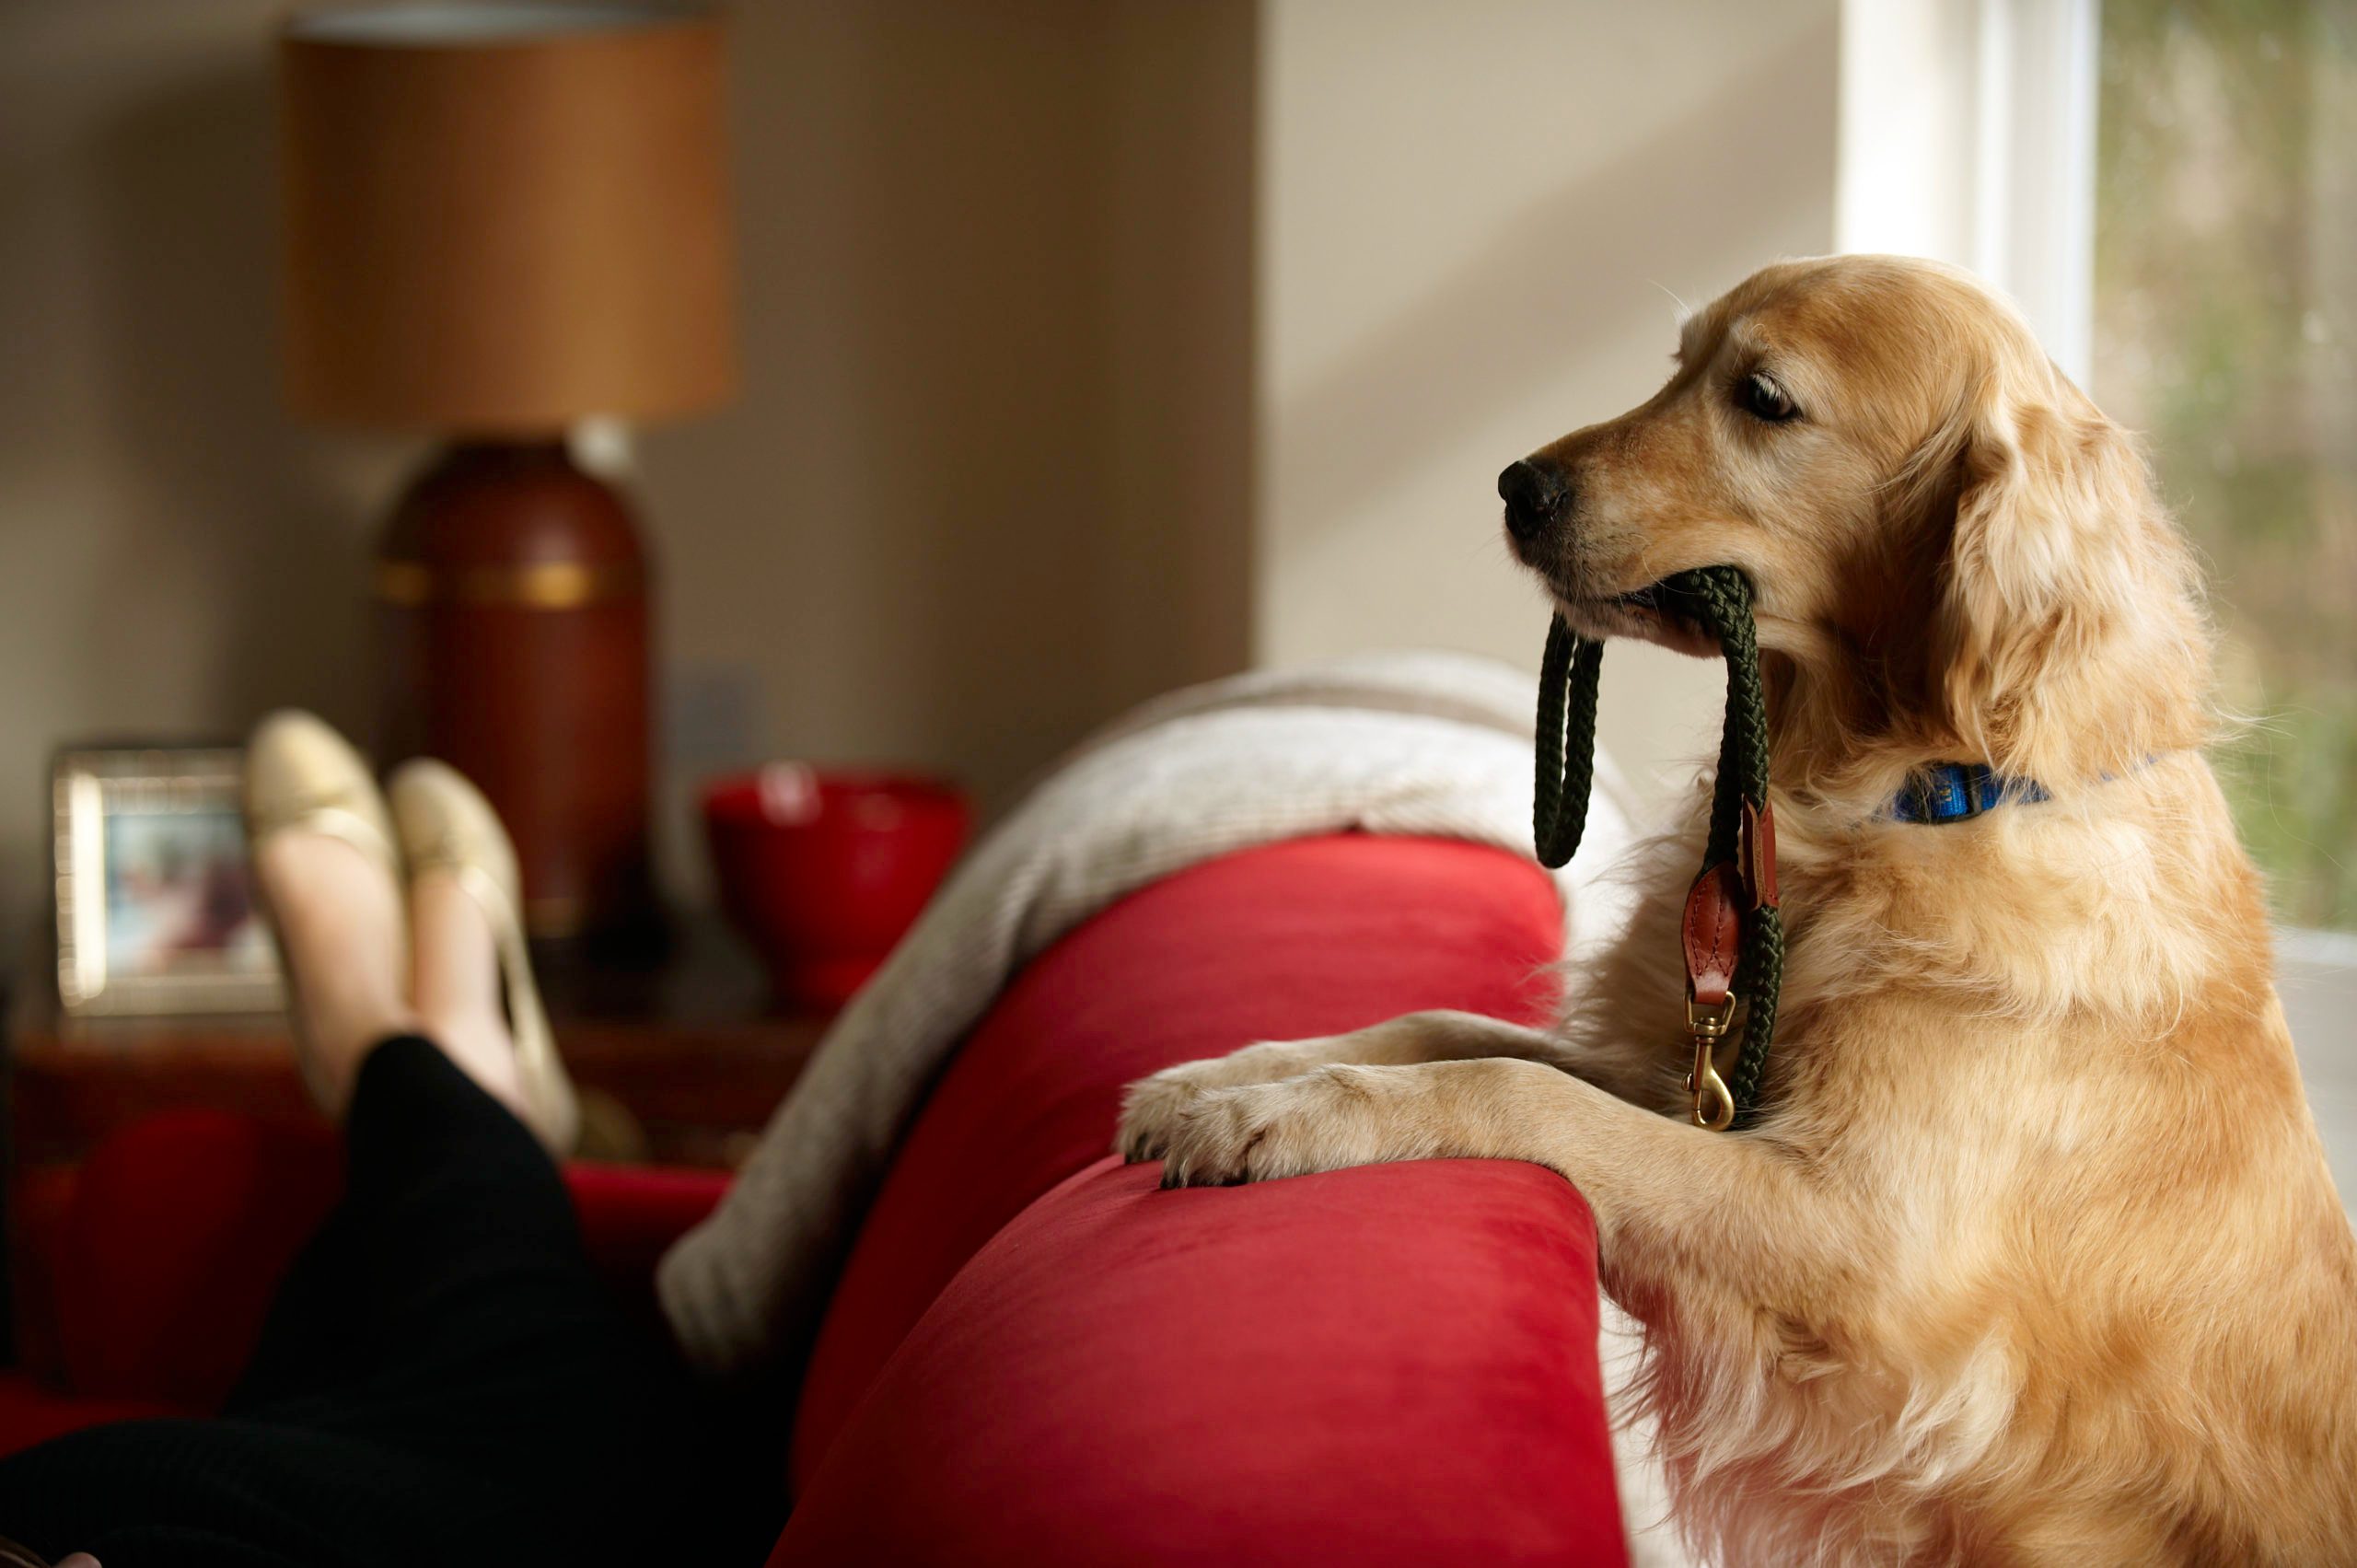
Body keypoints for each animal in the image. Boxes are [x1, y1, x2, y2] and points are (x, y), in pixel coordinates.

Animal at [1117, 257, 2357, 1565]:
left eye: (1762, 398)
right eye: (1677, 364)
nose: (1515, 486)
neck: (1896, 799)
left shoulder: (1861, 1244)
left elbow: (1514, 1087)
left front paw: (1280, 1118)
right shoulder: (1700, 1083)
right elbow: (1447, 1027)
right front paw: (1227, 1080)